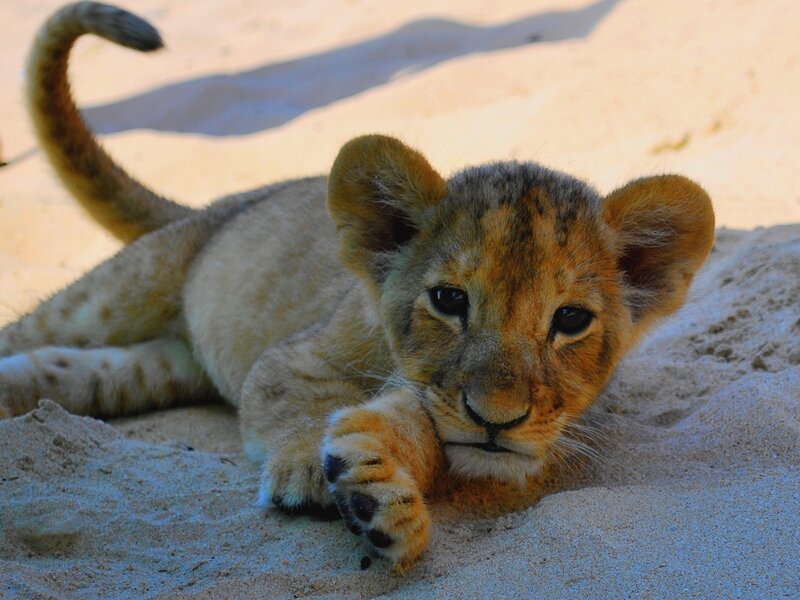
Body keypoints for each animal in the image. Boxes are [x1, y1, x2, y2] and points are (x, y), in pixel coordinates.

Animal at [0, 1, 714, 570]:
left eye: (570, 320)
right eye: (449, 300)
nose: (496, 420)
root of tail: (217, 202)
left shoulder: (549, 441)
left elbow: (423, 431)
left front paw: (375, 493)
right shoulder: (288, 359)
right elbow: (296, 399)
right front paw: (309, 472)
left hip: (153, 365)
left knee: (69, 373)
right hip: (116, 292)